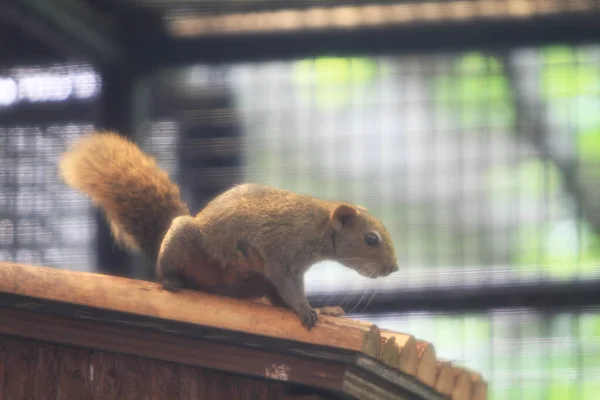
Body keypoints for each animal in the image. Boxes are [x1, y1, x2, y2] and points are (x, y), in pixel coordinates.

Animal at [59, 131, 398, 328]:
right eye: (371, 239)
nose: (394, 268)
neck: (315, 225)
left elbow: (287, 294)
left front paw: (318, 309)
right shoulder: (281, 256)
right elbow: (290, 288)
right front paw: (305, 309)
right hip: (182, 243)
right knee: (165, 270)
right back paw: (171, 280)